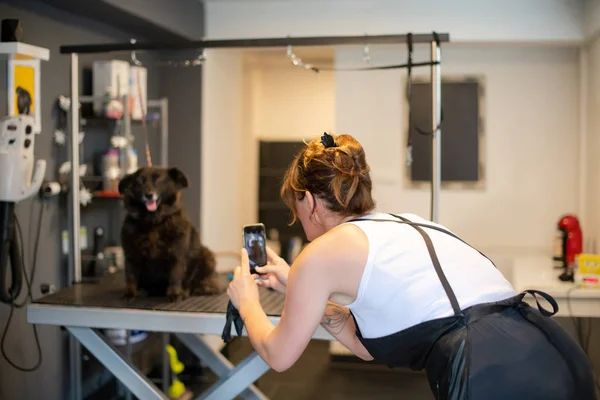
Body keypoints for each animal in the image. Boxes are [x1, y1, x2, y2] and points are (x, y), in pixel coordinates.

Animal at [118, 167, 226, 302]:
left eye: (157, 179)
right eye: (139, 181)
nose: (148, 194)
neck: (154, 222)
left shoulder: (177, 255)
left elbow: (175, 276)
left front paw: (175, 293)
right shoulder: (131, 255)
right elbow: (131, 277)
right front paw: (130, 293)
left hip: (207, 255)